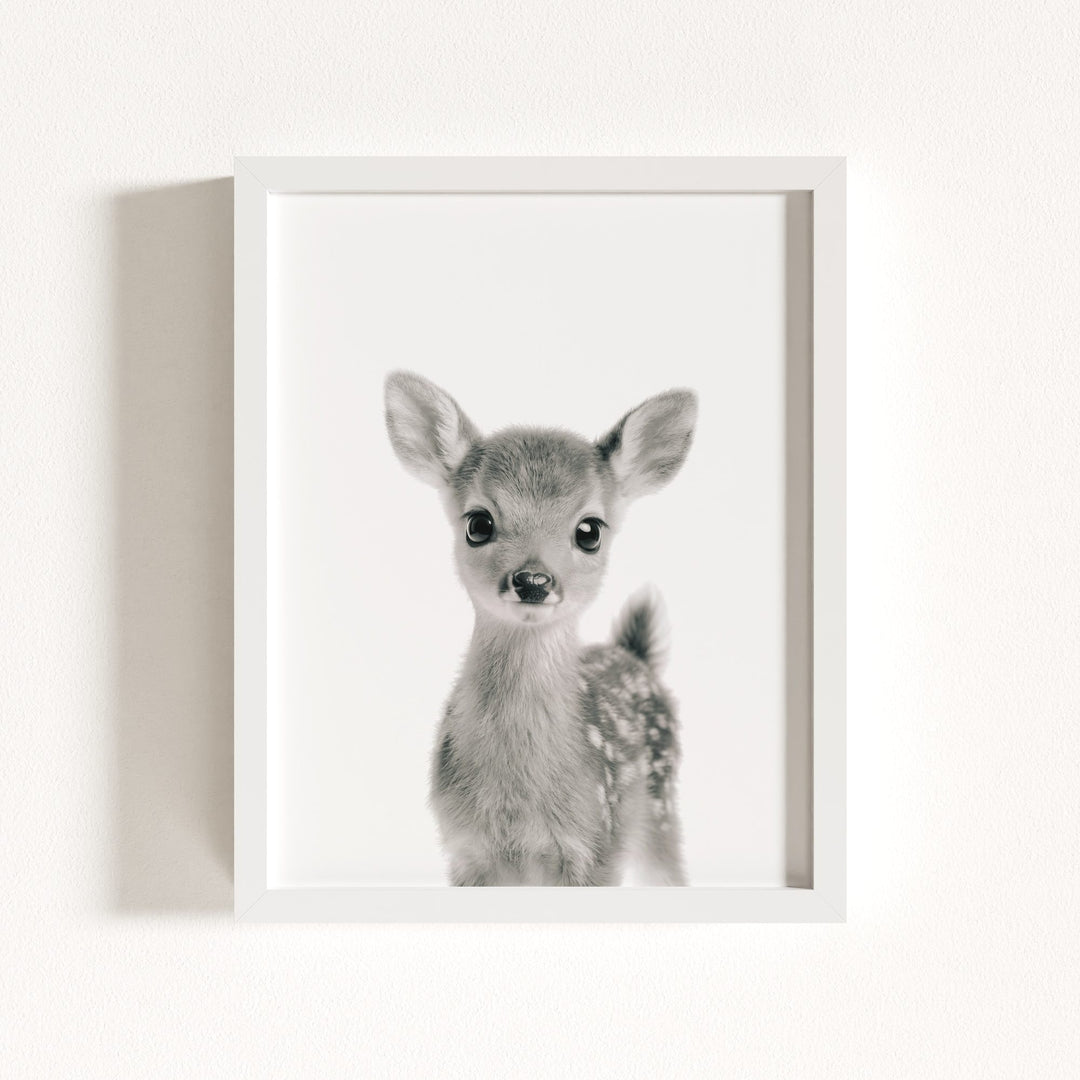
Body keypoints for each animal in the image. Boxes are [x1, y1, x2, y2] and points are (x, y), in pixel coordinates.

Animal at [384, 371, 697, 886]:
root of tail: (635, 654)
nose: (533, 581)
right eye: (478, 523)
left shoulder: (597, 845)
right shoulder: (464, 850)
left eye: (590, 531)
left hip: (661, 809)